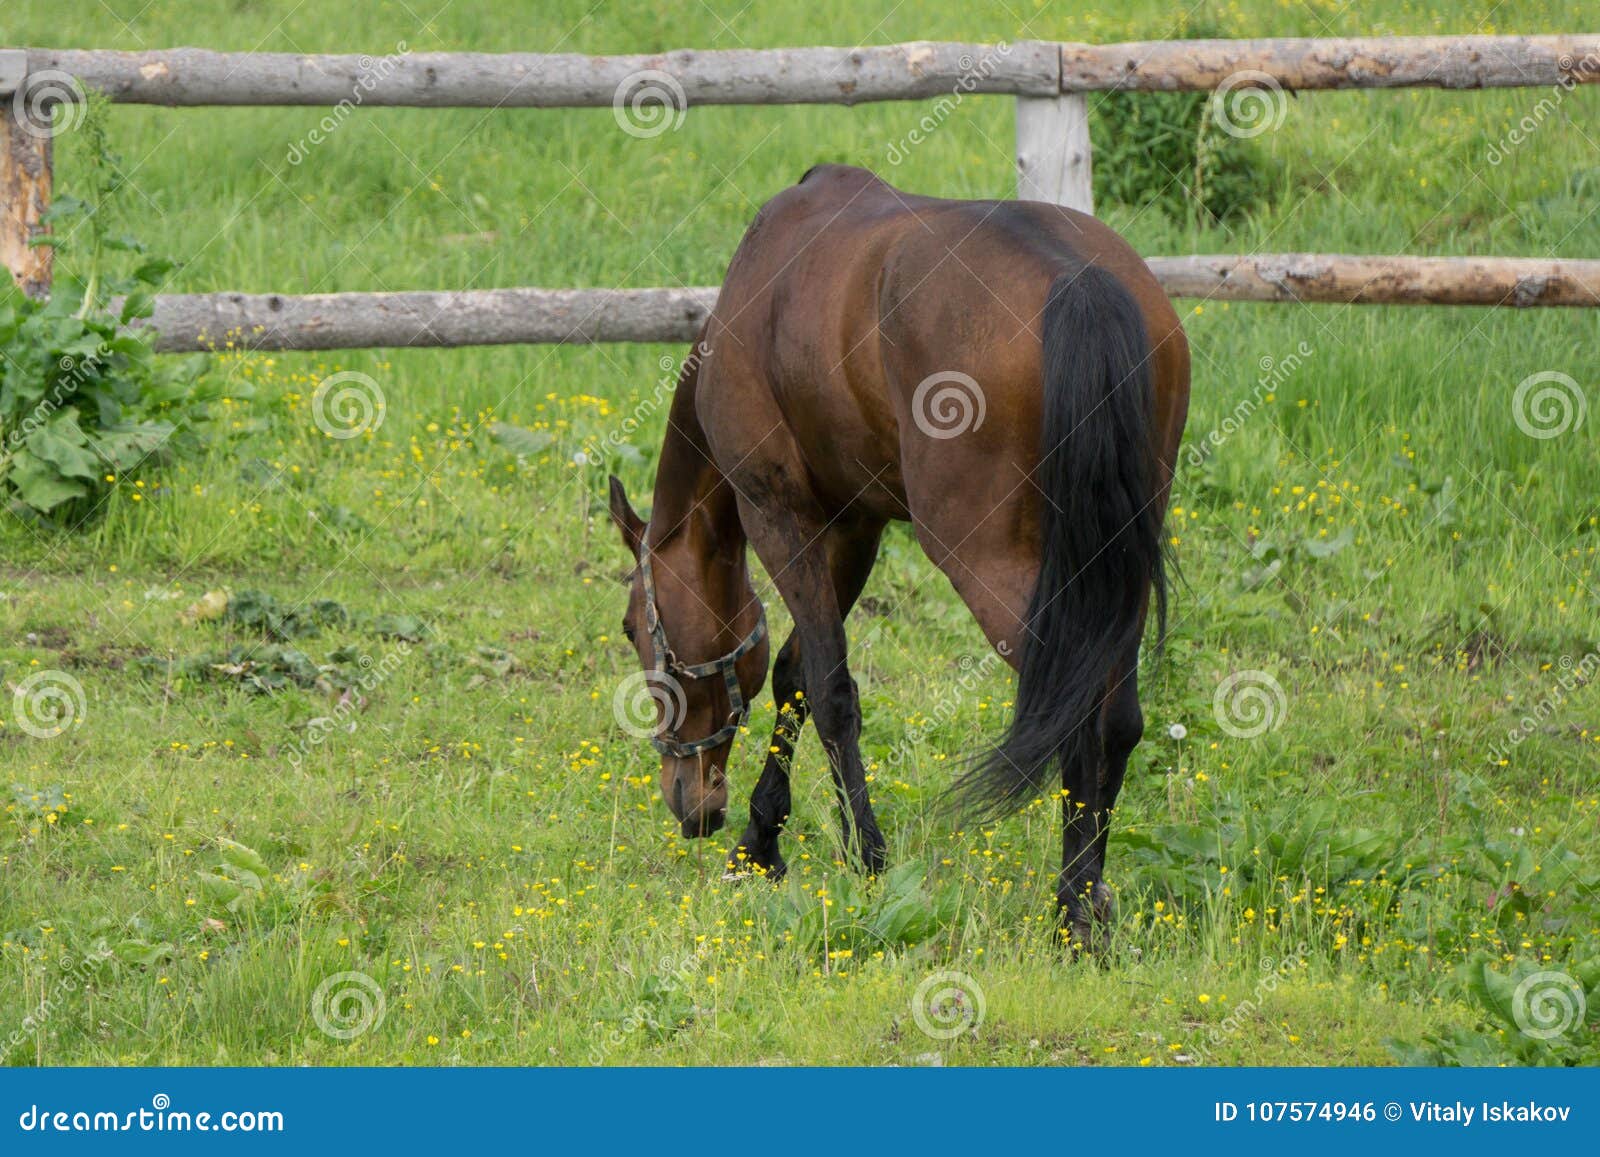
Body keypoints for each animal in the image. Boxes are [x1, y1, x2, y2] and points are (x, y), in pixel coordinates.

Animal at [607, 163, 1189, 942]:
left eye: (633, 629)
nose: (687, 800)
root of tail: (1080, 278)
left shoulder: (780, 514)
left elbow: (829, 691)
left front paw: (867, 856)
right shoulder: (855, 528)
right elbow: (796, 672)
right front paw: (761, 841)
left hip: (995, 562)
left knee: (1078, 710)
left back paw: (1071, 911)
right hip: (1113, 567)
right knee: (1120, 715)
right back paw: (1091, 894)